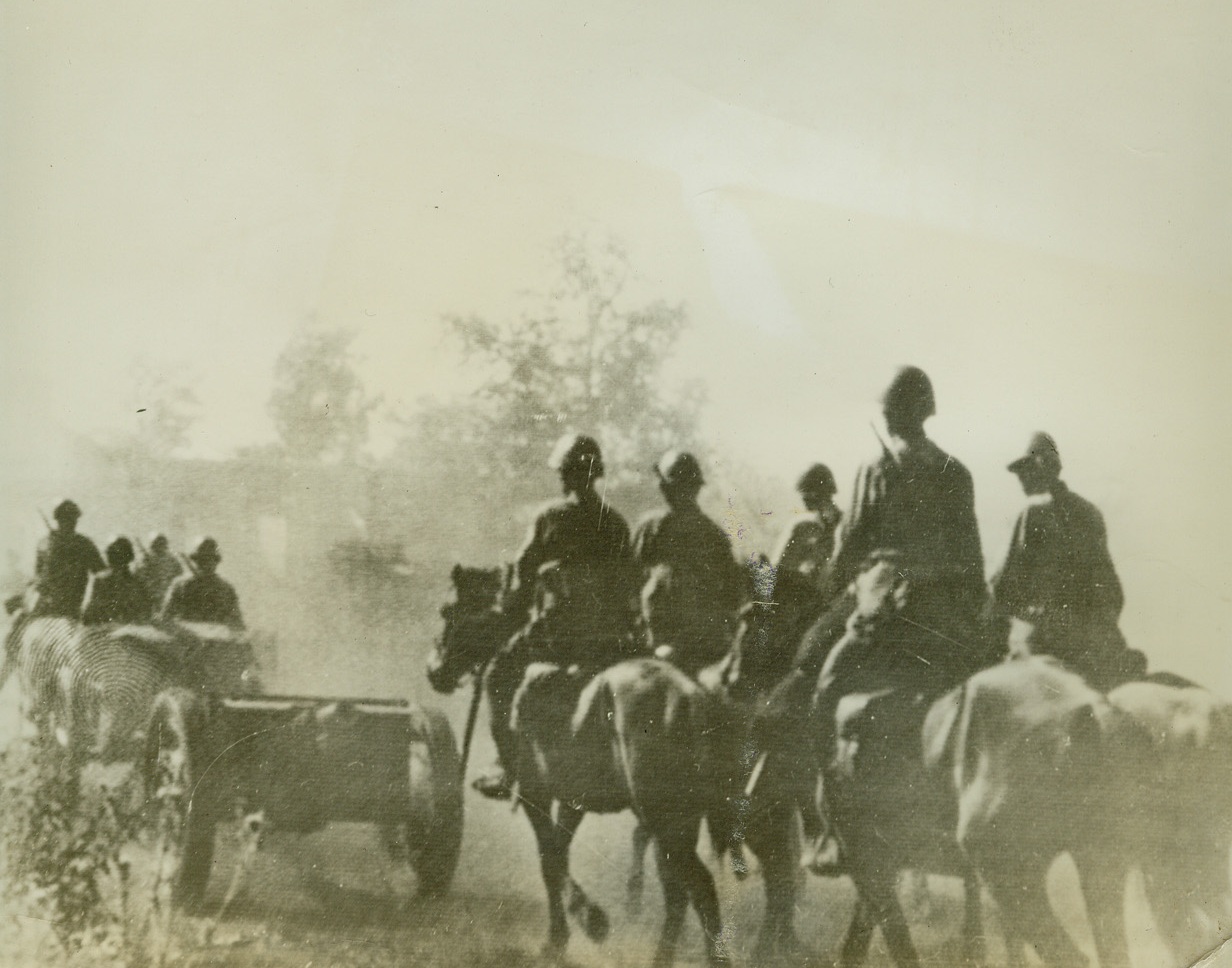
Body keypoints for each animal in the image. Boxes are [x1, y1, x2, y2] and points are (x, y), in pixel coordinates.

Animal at [428, 566, 734, 965]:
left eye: (448, 611)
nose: (433, 671)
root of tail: (691, 699)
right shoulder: (573, 802)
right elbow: (560, 852)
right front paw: (576, 924)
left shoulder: (534, 793)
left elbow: (550, 860)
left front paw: (577, 928)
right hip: (678, 821)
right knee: (679, 892)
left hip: (664, 820)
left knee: (697, 885)